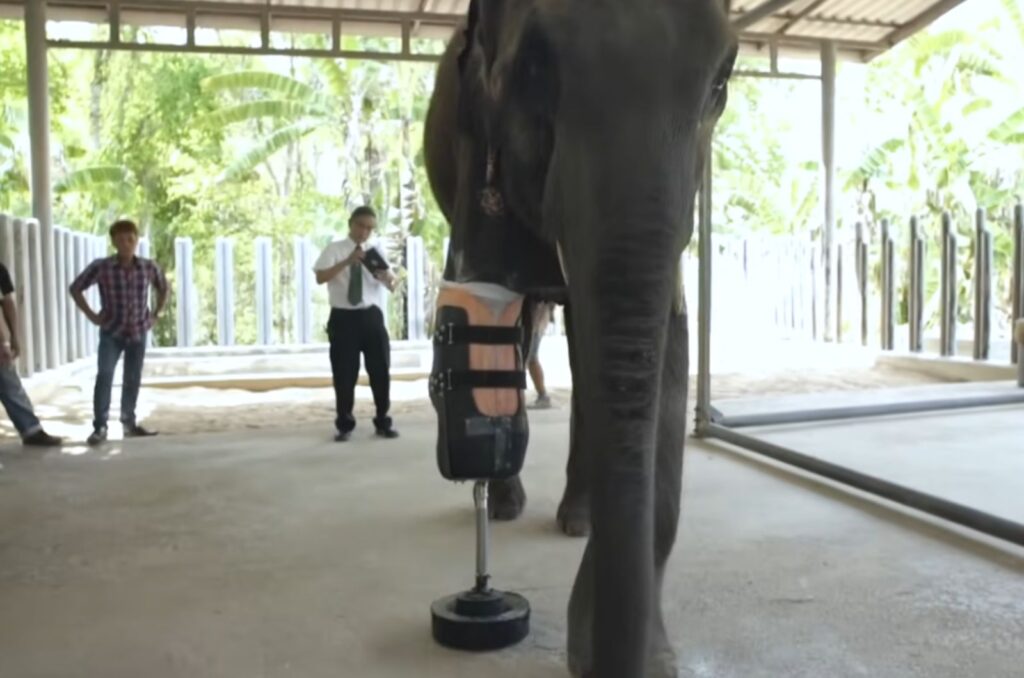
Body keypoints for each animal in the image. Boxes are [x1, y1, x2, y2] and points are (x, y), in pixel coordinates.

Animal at [421, 1, 737, 678]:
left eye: (721, 81)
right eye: (535, 68)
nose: (600, 658)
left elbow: (666, 356)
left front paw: (652, 657)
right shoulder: (476, 142)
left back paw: (579, 520)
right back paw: (506, 506)